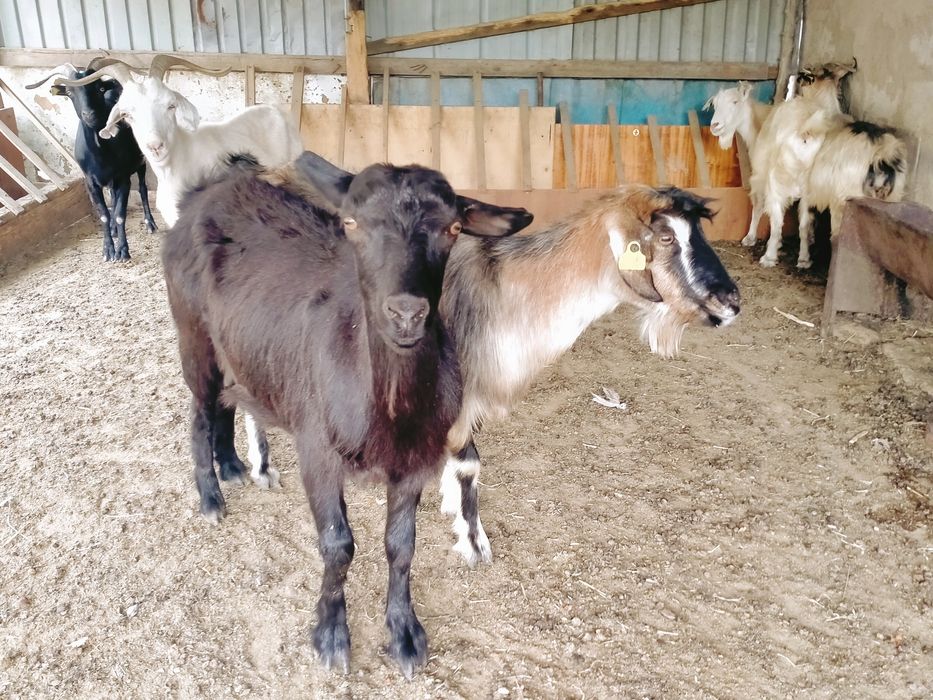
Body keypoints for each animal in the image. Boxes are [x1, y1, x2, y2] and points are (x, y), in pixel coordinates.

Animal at [26, 59, 156, 261]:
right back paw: (113, 230)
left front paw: (122, 251)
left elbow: (120, 213)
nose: (89, 114)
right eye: (70, 92)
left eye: (99, 89)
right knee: (113, 196)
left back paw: (149, 223)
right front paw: (108, 250)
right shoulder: (90, 182)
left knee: (142, 188)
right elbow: (104, 214)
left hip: (141, 161)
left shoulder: (123, 178)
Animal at [161, 151, 532, 676]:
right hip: (193, 333)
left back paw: (231, 464)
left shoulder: (415, 460)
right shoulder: (316, 450)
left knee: (224, 403)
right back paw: (211, 496)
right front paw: (331, 636)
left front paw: (404, 633)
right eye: (351, 223)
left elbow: (401, 545)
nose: (406, 314)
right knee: (199, 409)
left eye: (454, 228)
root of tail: (207, 190)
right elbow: (338, 546)